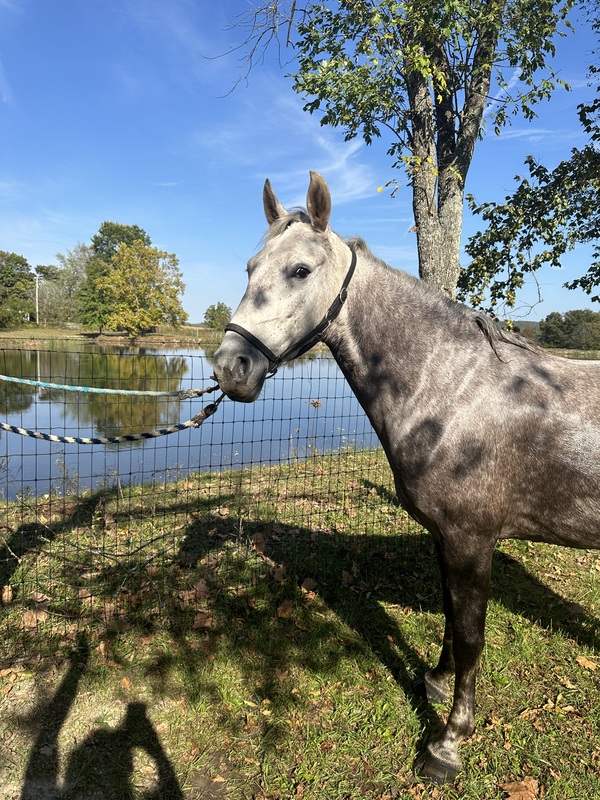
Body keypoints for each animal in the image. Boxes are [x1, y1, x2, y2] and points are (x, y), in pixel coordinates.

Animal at [212, 173, 600, 780]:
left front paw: (449, 742)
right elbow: (450, 617)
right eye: (250, 268)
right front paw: (436, 683)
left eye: (299, 270)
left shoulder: (471, 540)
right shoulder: (445, 538)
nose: (232, 368)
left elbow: (471, 635)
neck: (453, 390)